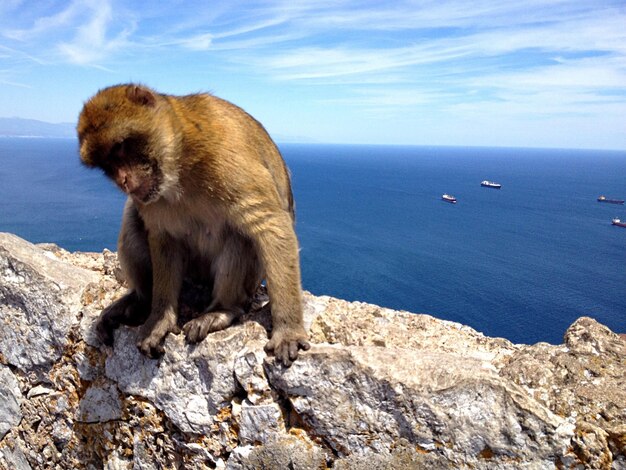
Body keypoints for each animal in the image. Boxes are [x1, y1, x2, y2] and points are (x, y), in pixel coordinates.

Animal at [77, 82, 310, 366]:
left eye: (120, 147)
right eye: (106, 165)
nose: (122, 180)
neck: (181, 160)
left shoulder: (229, 157)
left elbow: (271, 225)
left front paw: (288, 330)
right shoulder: (150, 199)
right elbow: (162, 238)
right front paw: (159, 319)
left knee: (240, 235)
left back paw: (222, 310)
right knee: (132, 216)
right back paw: (141, 301)